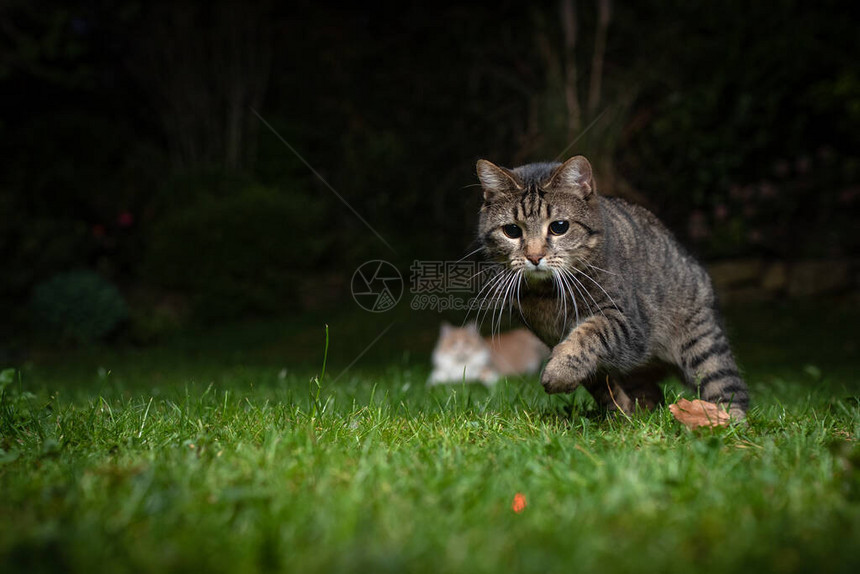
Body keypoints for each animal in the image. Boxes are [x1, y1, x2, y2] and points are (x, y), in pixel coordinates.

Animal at [474, 155, 748, 420]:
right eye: (512, 230)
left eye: (559, 227)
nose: (534, 256)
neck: (548, 295)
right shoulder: (552, 337)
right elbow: (600, 384)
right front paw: (619, 414)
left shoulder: (627, 322)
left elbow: (589, 333)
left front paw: (559, 372)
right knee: (652, 394)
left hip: (704, 345)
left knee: (731, 390)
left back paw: (726, 421)